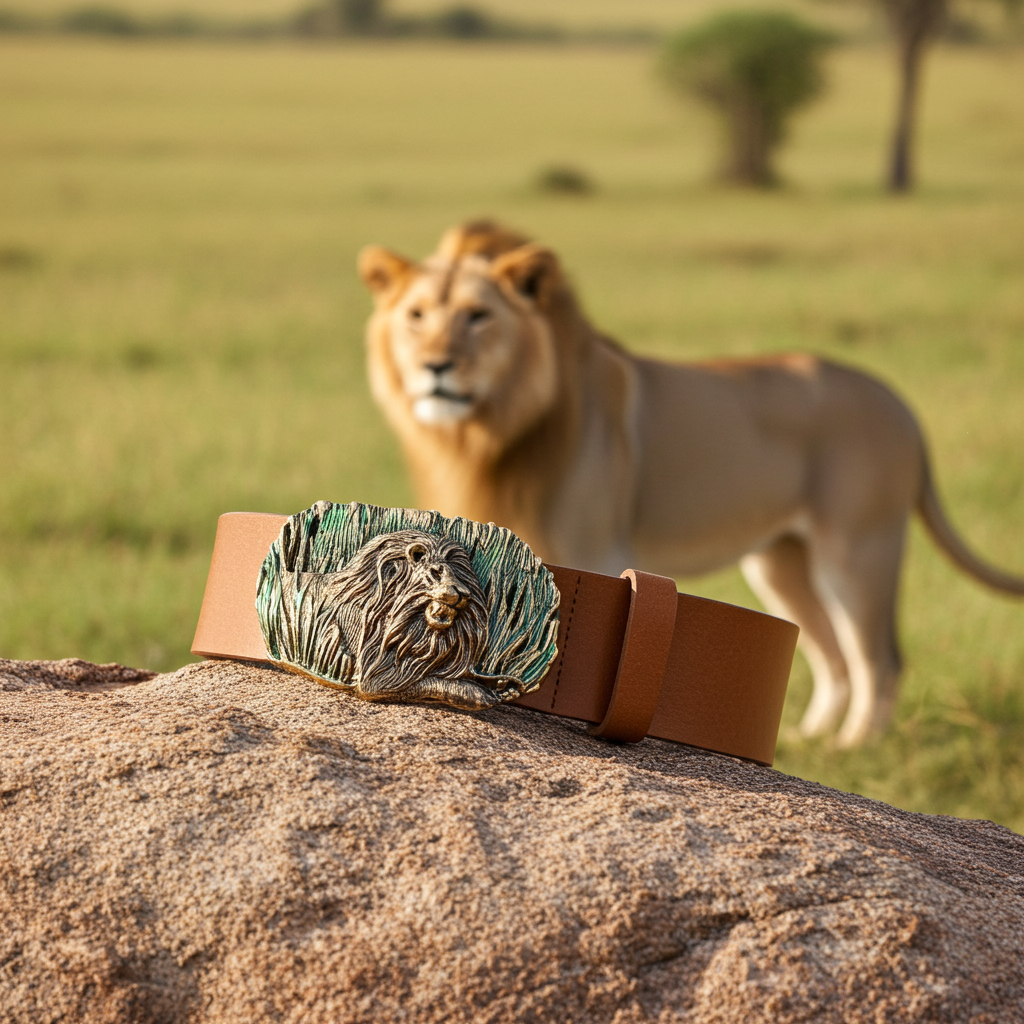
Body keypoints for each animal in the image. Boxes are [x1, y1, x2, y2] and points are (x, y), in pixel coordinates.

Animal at [271, 524, 526, 709]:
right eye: (437, 571)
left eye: (460, 575)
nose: (464, 594)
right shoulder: (375, 678)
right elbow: (437, 683)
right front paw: (483, 693)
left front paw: (505, 684)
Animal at [357, 220, 1024, 748]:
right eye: (417, 316)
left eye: (479, 316)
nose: (435, 366)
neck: (487, 433)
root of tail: (899, 404)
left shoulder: (596, 549)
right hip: (781, 561)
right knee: (830, 652)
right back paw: (808, 741)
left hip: (859, 547)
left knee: (878, 658)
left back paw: (854, 747)